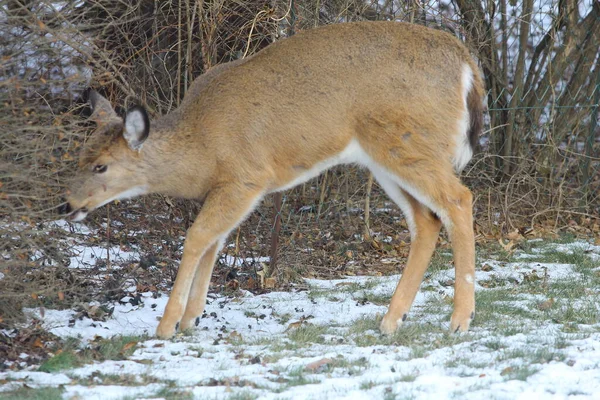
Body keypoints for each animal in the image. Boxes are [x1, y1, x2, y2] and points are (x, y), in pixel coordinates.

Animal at [59, 21, 482, 340]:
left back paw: (459, 321)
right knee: (426, 221)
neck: (202, 146)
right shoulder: (227, 187)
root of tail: (466, 64)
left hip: (406, 141)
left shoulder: (246, 178)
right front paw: (191, 318)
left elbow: (197, 237)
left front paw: (167, 325)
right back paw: (392, 321)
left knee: (459, 199)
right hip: (385, 158)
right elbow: (214, 242)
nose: (67, 204)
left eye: (102, 167)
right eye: (81, 158)